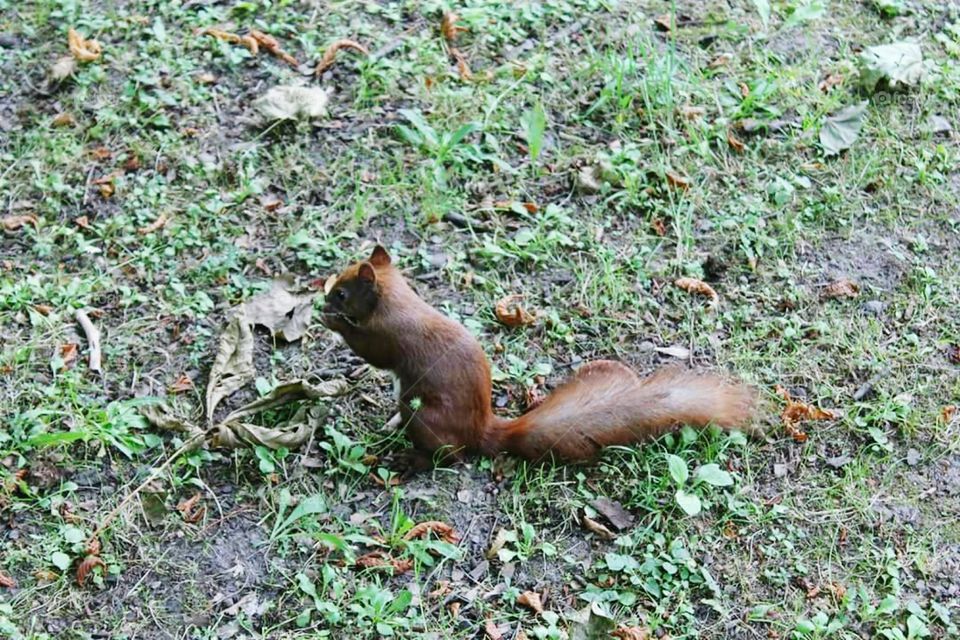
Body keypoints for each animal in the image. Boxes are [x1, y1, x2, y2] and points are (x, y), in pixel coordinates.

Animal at [320, 245, 757, 470]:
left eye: (342, 292)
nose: (325, 300)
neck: (399, 301)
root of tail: (483, 430)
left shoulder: (390, 337)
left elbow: (371, 351)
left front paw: (330, 321)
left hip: (427, 418)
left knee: (449, 455)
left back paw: (409, 461)